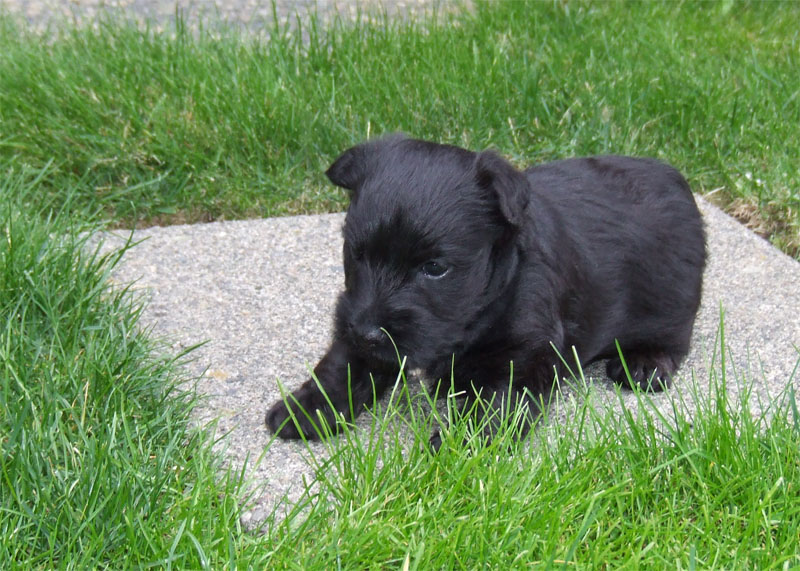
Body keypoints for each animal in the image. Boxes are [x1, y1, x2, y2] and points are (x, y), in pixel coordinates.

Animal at [265, 134, 706, 446]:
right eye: (355, 254)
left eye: (435, 269)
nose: (369, 332)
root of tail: (675, 178)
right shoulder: (356, 320)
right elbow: (341, 364)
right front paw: (307, 407)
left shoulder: (523, 355)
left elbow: (495, 402)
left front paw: (460, 443)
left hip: (671, 300)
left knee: (675, 337)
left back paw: (646, 363)